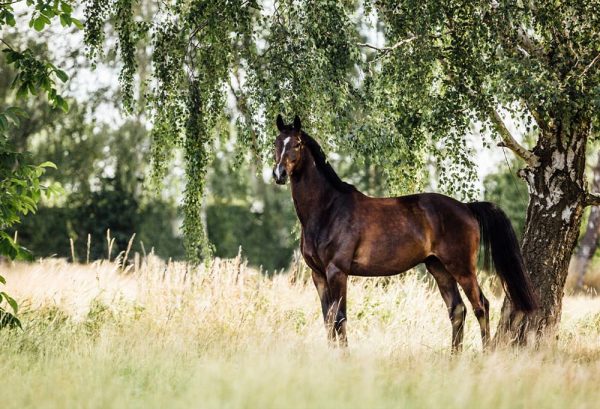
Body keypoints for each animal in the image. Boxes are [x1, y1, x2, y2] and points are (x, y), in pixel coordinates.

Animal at [274, 115, 540, 350]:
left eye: (296, 143)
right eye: (277, 143)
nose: (279, 174)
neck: (328, 209)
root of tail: (466, 207)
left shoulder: (337, 272)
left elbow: (340, 319)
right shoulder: (318, 274)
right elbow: (328, 320)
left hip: (462, 268)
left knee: (480, 306)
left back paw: (484, 355)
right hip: (438, 268)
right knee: (457, 310)